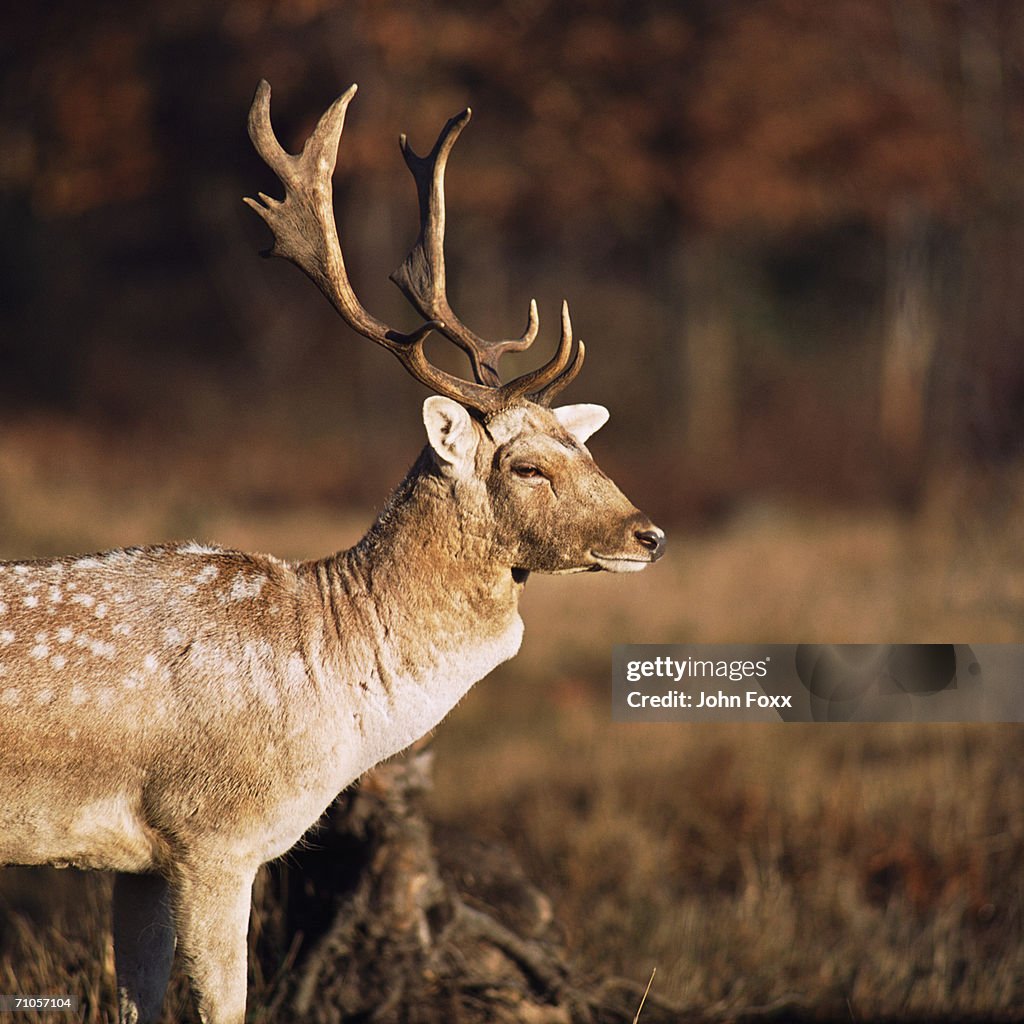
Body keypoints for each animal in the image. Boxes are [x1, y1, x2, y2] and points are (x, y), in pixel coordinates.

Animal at [0, 83, 663, 1024]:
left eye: (585, 449)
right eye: (528, 465)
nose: (650, 532)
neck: (325, 672)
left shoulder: (140, 861)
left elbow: (138, 999)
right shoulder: (214, 833)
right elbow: (224, 1004)